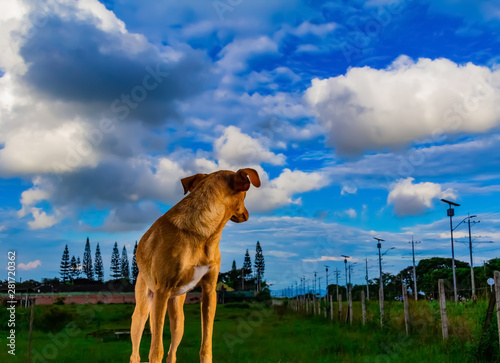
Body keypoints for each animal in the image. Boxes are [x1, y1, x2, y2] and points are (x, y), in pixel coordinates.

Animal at [129, 169, 262, 363]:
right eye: (245, 195)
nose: (247, 214)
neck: (204, 232)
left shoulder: (209, 291)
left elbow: (206, 344)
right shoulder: (161, 291)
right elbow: (155, 350)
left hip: (178, 318)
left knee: (172, 352)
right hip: (143, 311)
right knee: (137, 352)